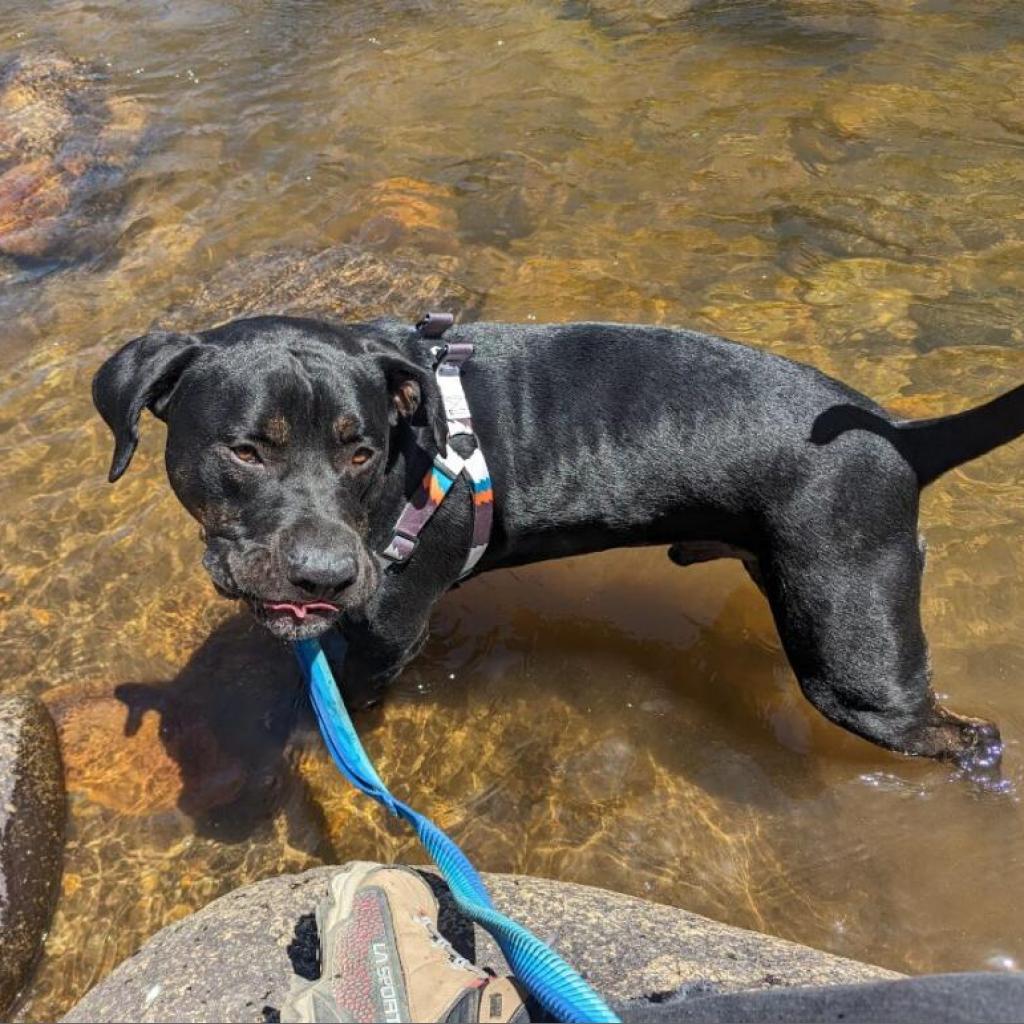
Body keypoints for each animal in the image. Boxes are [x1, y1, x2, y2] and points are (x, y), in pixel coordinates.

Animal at [94, 315, 1024, 770]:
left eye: (361, 452)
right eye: (246, 450)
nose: (325, 573)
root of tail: (908, 440)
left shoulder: (390, 632)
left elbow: (343, 705)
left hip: (855, 666)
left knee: (958, 732)